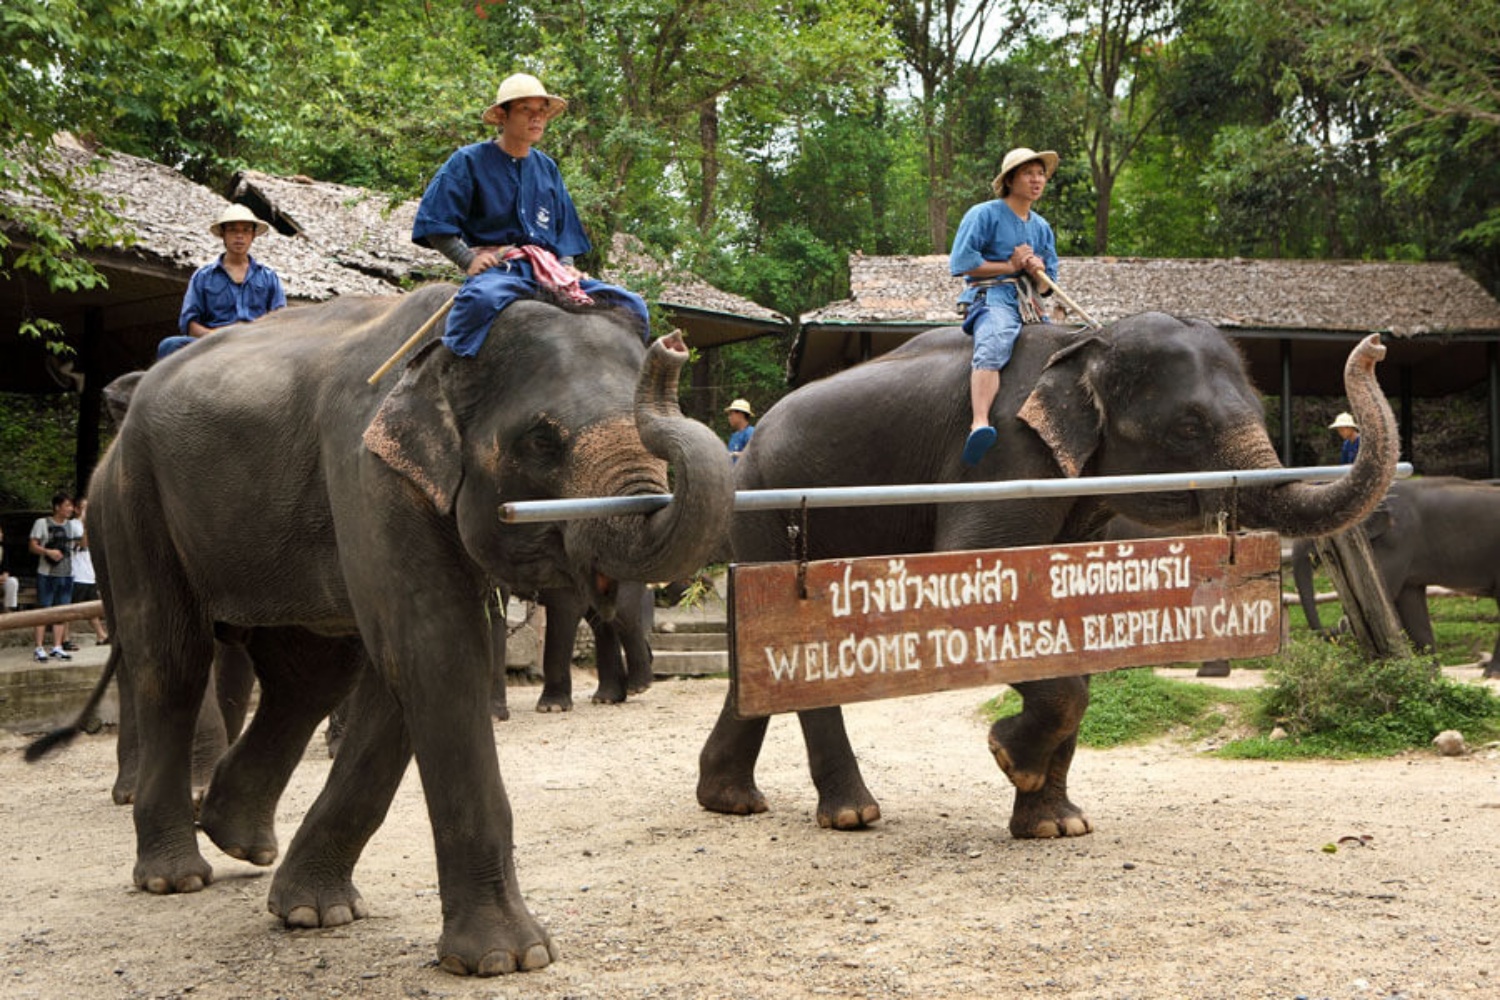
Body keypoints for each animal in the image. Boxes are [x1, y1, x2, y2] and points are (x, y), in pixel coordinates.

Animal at [80, 283, 732, 977]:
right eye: (540, 441)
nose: (674, 347)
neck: (448, 342)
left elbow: (406, 669)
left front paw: (317, 914)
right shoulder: (368, 472)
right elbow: (434, 651)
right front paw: (509, 958)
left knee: (309, 677)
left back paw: (240, 840)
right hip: (133, 497)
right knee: (171, 660)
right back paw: (174, 876)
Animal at [696, 310, 1398, 839]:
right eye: (1189, 426)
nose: (1377, 345)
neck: (1084, 343)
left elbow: (1068, 619)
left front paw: (1055, 824)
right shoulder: (1002, 458)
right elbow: (979, 587)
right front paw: (1010, 756)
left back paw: (731, 801)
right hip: (764, 504)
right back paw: (852, 815)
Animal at [1290, 476, 1500, 680]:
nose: (1334, 627)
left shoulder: (1396, 541)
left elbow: (1387, 594)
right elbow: (1410, 604)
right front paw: (1429, 675)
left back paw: (1491, 674)